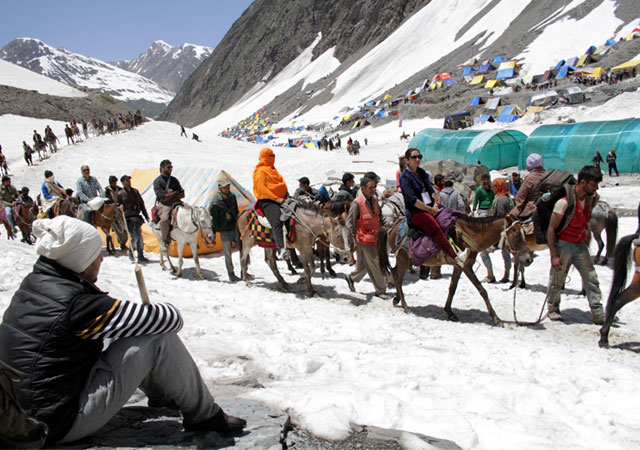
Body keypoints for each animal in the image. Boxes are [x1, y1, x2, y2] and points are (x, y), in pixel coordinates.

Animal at [378, 213, 532, 326]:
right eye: (517, 235)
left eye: (524, 234)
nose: (529, 259)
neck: (468, 235)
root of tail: (392, 226)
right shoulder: (466, 266)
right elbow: (482, 290)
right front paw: (496, 318)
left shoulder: (459, 266)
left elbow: (452, 288)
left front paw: (449, 312)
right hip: (403, 259)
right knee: (398, 278)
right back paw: (405, 306)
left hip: (404, 260)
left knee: (395, 273)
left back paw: (397, 299)